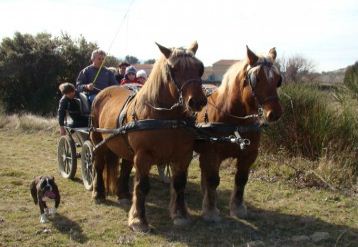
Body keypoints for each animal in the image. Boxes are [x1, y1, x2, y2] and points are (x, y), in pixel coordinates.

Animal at [91, 41, 206, 233]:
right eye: (173, 69)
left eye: (200, 68)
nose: (197, 101)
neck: (167, 120)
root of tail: (103, 92)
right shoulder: (143, 156)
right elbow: (142, 186)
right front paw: (138, 220)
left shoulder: (184, 155)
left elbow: (179, 183)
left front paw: (180, 215)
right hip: (98, 140)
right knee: (98, 165)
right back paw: (98, 193)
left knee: (125, 168)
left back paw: (123, 194)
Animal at [194, 46, 284, 222]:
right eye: (256, 79)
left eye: (278, 79)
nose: (275, 113)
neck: (235, 121)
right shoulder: (212, 153)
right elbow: (213, 180)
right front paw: (210, 211)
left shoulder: (249, 154)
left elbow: (241, 179)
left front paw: (238, 208)